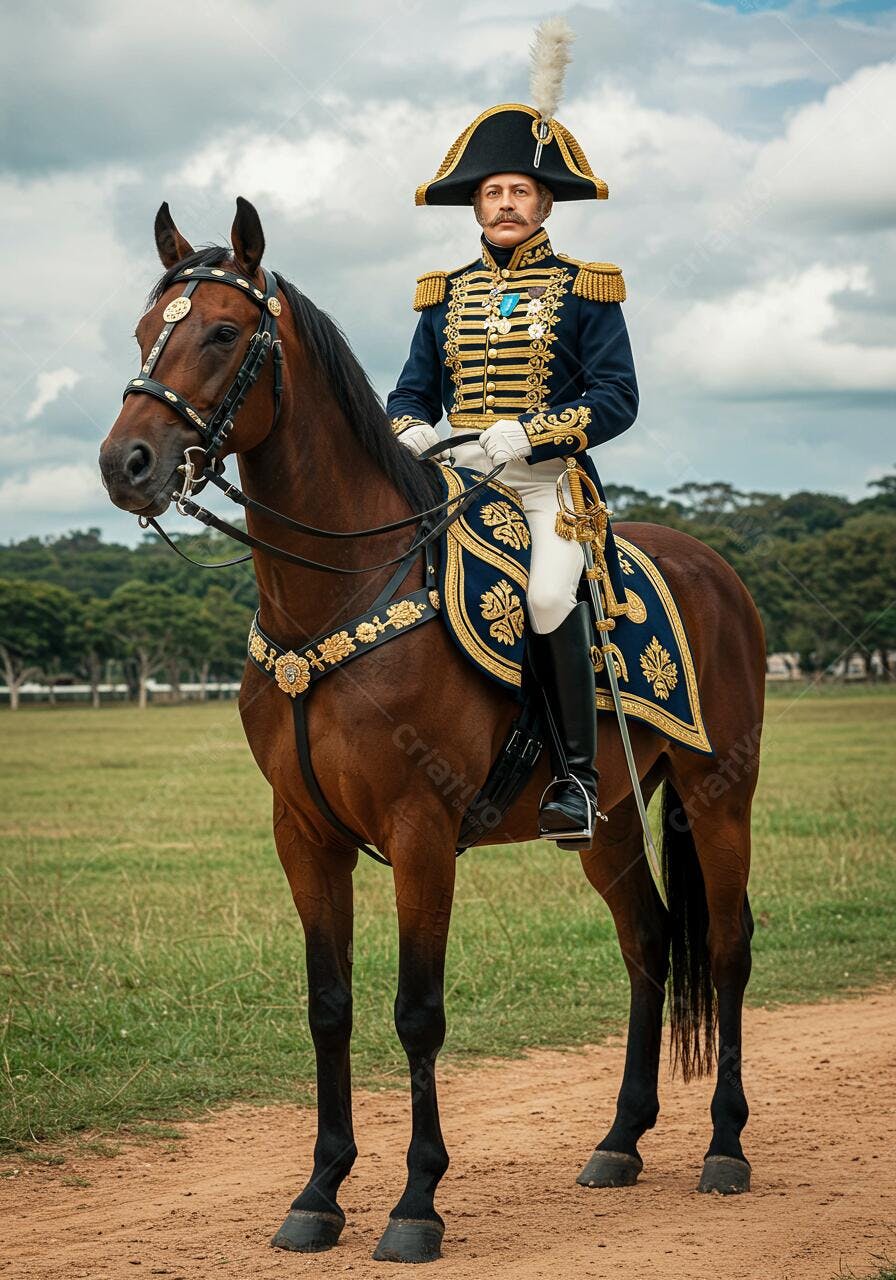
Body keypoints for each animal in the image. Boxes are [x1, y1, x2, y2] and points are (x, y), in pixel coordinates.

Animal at [98, 198, 765, 1265]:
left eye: (223, 333)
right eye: (140, 333)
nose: (127, 465)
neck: (334, 597)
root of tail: (714, 569)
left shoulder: (420, 832)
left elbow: (417, 1012)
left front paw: (416, 1203)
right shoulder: (304, 835)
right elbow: (328, 1007)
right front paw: (320, 1192)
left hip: (717, 792)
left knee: (731, 944)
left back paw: (726, 1147)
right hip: (612, 819)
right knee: (651, 943)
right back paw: (620, 1140)